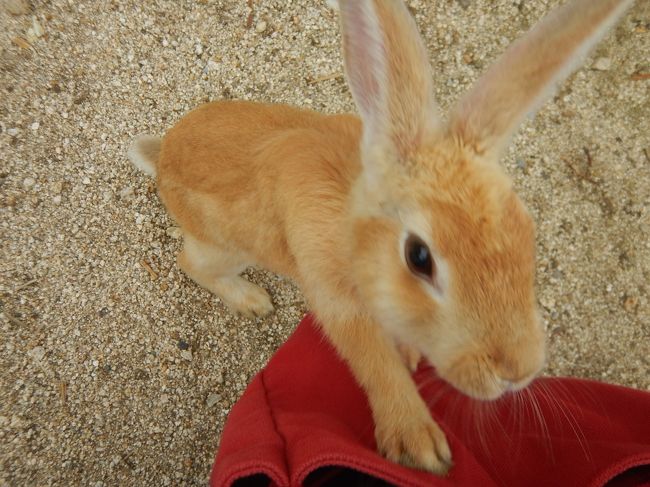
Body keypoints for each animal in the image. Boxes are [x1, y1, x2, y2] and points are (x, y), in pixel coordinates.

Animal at [128, 0, 632, 474]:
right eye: (419, 257)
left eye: (526, 231)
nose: (516, 371)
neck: (352, 230)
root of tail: (163, 156)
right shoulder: (336, 297)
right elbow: (372, 360)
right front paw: (417, 442)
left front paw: (409, 355)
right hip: (224, 248)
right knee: (192, 264)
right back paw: (252, 300)